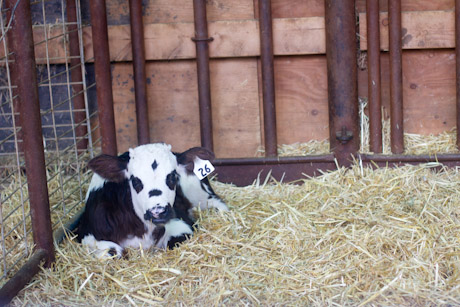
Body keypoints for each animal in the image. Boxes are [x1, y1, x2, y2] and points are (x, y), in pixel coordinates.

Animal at [77, 143, 228, 258]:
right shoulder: (86, 232)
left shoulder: (183, 223)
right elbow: (113, 251)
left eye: (172, 176)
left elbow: (173, 242)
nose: (158, 212)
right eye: (135, 180)